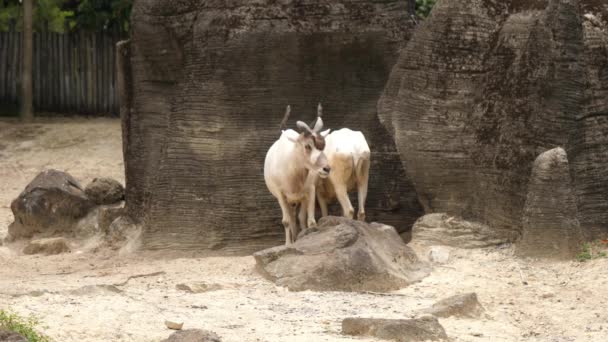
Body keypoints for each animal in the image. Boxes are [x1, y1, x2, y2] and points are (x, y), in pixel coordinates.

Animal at [264, 105, 332, 246]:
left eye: (323, 145)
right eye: (308, 146)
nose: (326, 169)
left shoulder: (310, 191)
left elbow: (311, 221)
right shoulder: (281, 195)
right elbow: (286, 221)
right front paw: (288, 245)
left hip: (304, 196)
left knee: (301, 217)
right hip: (289, 200)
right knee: (291, 218)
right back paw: (294, 240)